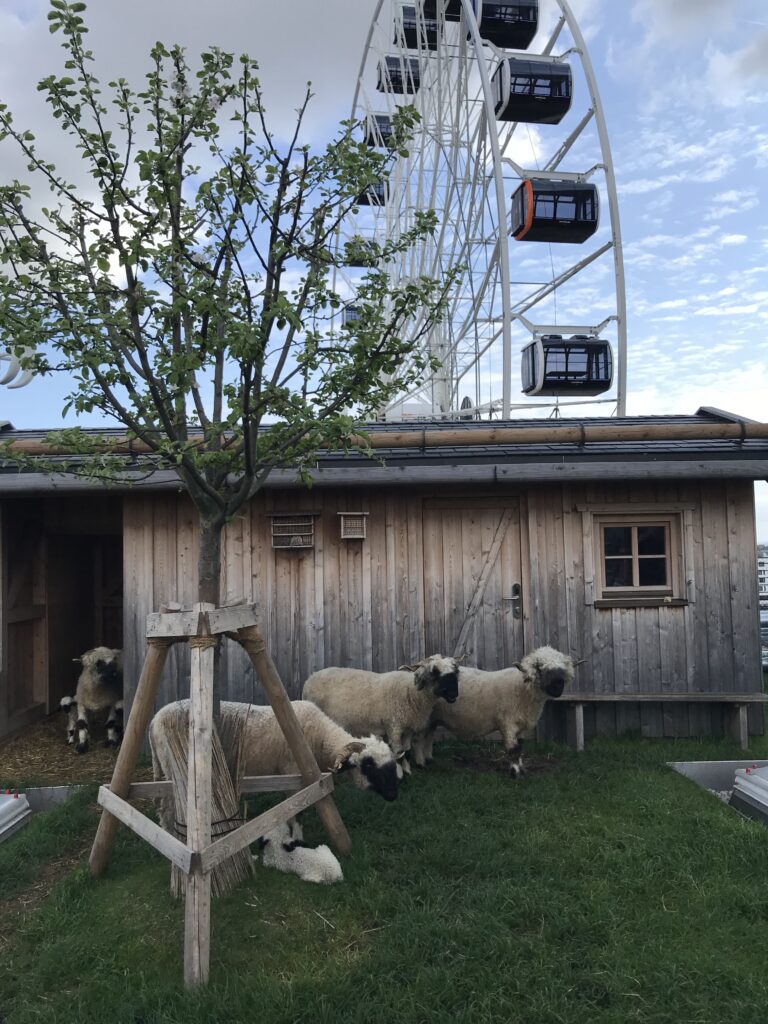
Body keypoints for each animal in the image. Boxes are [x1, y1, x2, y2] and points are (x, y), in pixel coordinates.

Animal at [148, 696, 403, 806]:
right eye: (368, 765)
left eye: (392, 765)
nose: (393, 795)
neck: (320, 737)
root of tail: (154, 719)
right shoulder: (293, 773)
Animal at [301, 655, 460, 761]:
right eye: (434, 672)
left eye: (455, 672)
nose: (454, 694)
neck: (411, 693)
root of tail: (309, 679)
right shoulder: (394, 726)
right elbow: (399, 753)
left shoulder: (408, 727)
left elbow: (407, 751)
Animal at [411, 647, 573, 774]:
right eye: (540, 667)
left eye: (563, 668)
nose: (559, 685)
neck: (523, 689)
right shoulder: (508, 723)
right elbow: (513, 749)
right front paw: (515, 772)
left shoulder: (519, 725)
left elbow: (520, 746)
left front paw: (521, 768)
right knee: (419, 739)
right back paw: (420, 763)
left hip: (432, 717)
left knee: (428, 736)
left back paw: (429, 759)